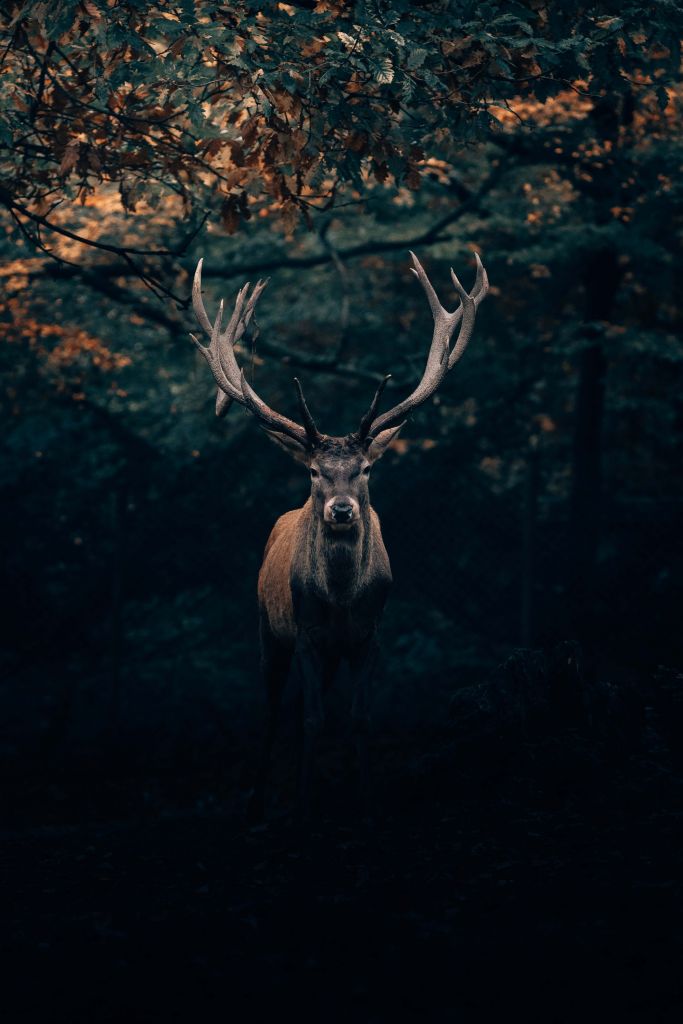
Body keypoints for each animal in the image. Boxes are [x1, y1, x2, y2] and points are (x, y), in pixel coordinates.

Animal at [189, 249, 489, 823]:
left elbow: (357, 718)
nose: (342, 509)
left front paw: (364, 802)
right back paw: (259, 801)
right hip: (268, 629)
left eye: (366, 469)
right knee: (273, 708)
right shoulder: (306, 632)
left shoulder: (371, 635)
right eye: (313, 471)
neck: (343, 599)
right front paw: (304, 806)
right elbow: (311, 719)